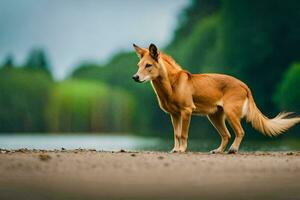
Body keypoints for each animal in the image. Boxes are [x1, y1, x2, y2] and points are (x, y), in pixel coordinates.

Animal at [132, 43, 300, 153]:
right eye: (138, 65)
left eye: (148, 65)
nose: (135, 77)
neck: (171, 84)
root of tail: (244, 85)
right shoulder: (174, 115)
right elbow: (176, 134)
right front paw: (175, 149)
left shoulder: (186, 112)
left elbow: (184, 134)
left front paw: (182, 149)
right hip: (214, 116)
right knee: (226, 135)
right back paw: (218, 150)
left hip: (231, 113)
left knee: (240, 132)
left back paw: (233, 149)